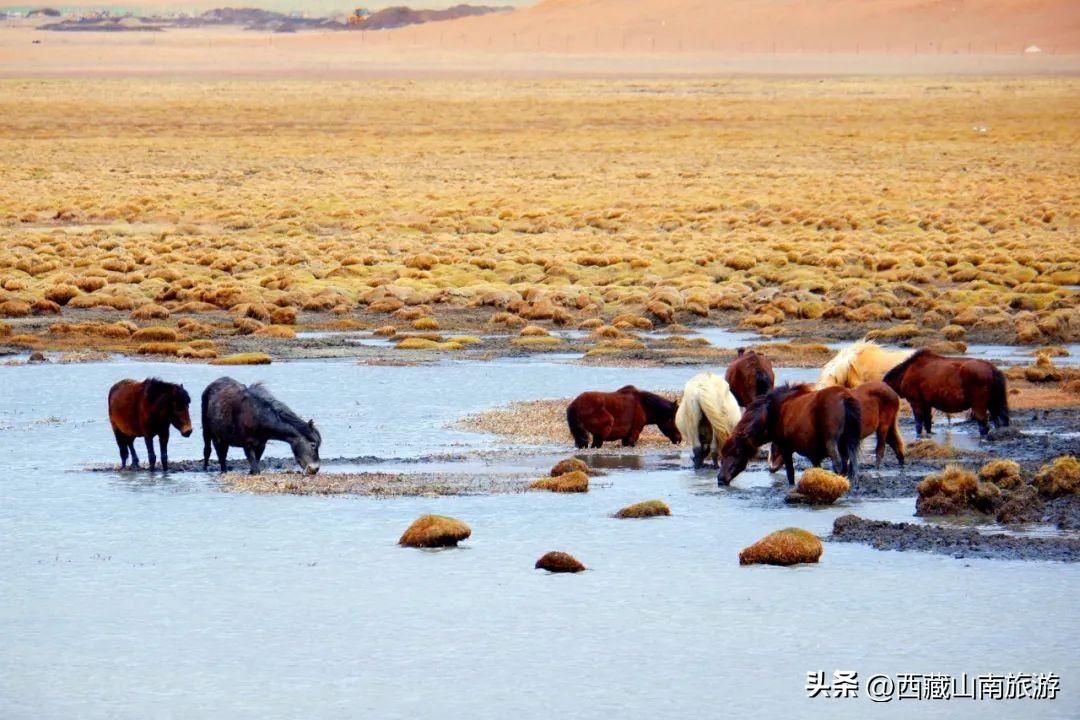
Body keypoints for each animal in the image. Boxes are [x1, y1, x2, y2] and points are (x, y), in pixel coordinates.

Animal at [721, 382, 864, 483]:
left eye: (734, 452)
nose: (720, 479)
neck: (770, 415)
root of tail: (844, 398)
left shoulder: (786, 448)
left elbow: (790, 473)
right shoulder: (814, 455)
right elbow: (817, 470)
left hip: (832, 442)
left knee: (839, 465)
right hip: (848, 443)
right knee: (850, 466)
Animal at [764, 379, 907, 470]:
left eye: (774, 446)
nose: (771, 468)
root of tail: (891, 390)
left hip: (883, 427)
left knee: (880, 450)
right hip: (888, 425)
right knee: (895, 444)